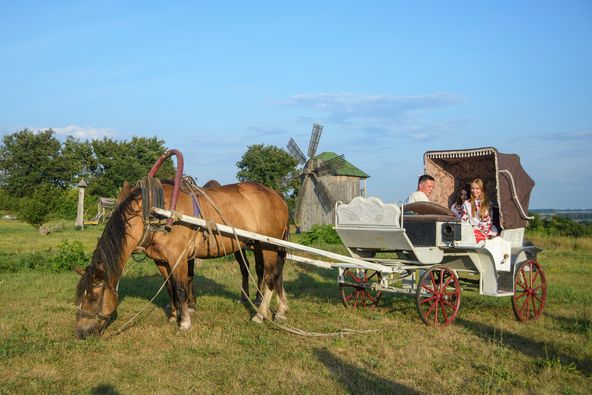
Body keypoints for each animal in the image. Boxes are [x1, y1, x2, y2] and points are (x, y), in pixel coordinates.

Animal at [75, 181, 290, 338]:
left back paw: (260, 315)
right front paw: (173, 316)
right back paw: (280, 310)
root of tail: (277, 196)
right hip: (262, 245)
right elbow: (170, 288)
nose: (81, 333)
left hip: (268, 246)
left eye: (92, 298)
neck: (155, 213)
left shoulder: (178, 258)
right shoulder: (161, 261)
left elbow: (180, 288)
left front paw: (185, 322)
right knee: (277, 275)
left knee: (270, 278)